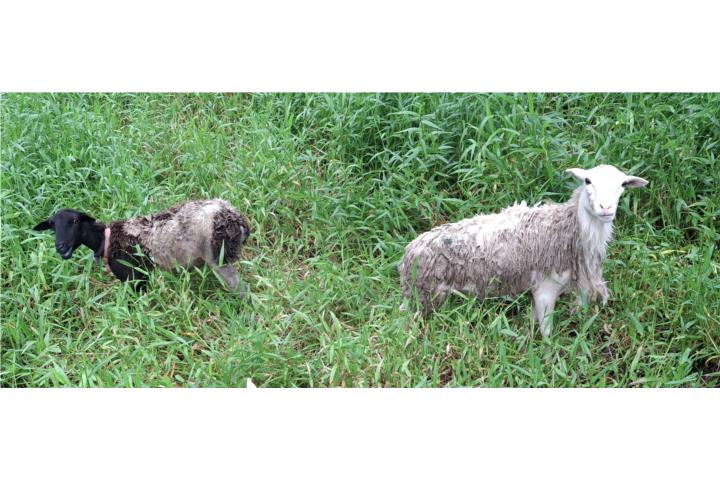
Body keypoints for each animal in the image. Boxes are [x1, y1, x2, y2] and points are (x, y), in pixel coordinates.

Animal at [33, 199, 252, 293]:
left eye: (75, 221)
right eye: (52, 225)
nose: (61, 247)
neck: (106, 239)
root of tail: (239, 220)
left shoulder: (135, 277)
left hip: (219, 256)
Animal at [399, 164, 649, 337]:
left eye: (623, 185)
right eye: (588, 181)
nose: (606, 208)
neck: (568, 229)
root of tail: (409, 253)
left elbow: (533, 324)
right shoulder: (546, 290)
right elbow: (547, 334)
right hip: (424, 296)